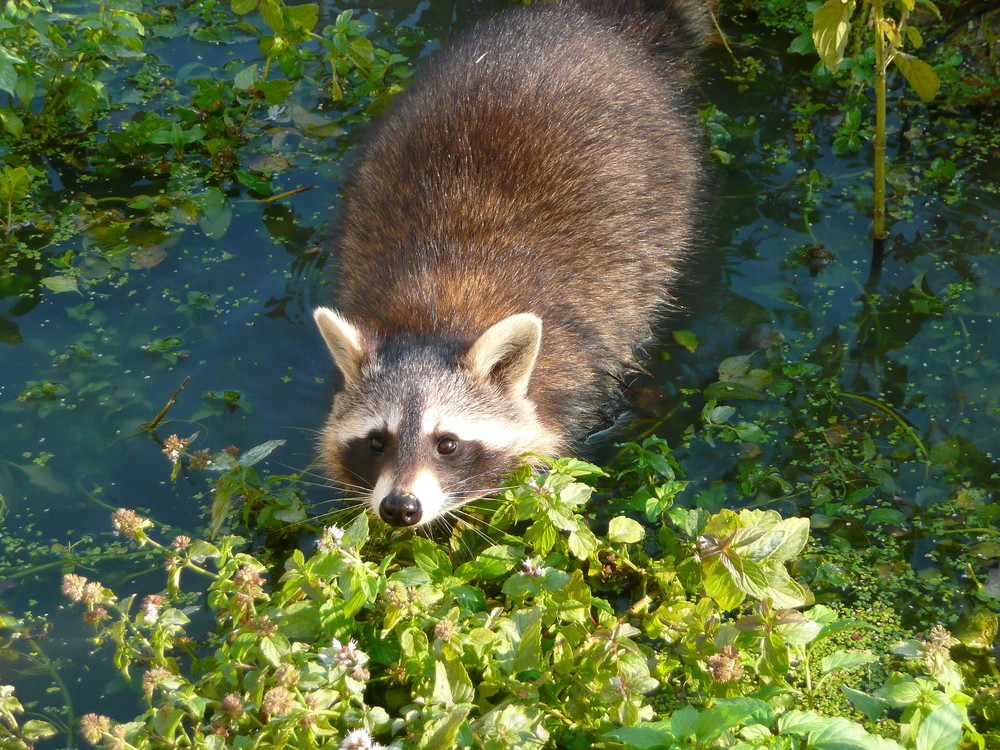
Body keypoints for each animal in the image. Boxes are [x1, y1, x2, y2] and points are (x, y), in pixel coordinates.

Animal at [312, 0, 712, 528]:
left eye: (447, 444)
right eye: (377, 442)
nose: (401, 508)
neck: (432, 317)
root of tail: (592, 20)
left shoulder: (577, 374)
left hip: (667, 176)